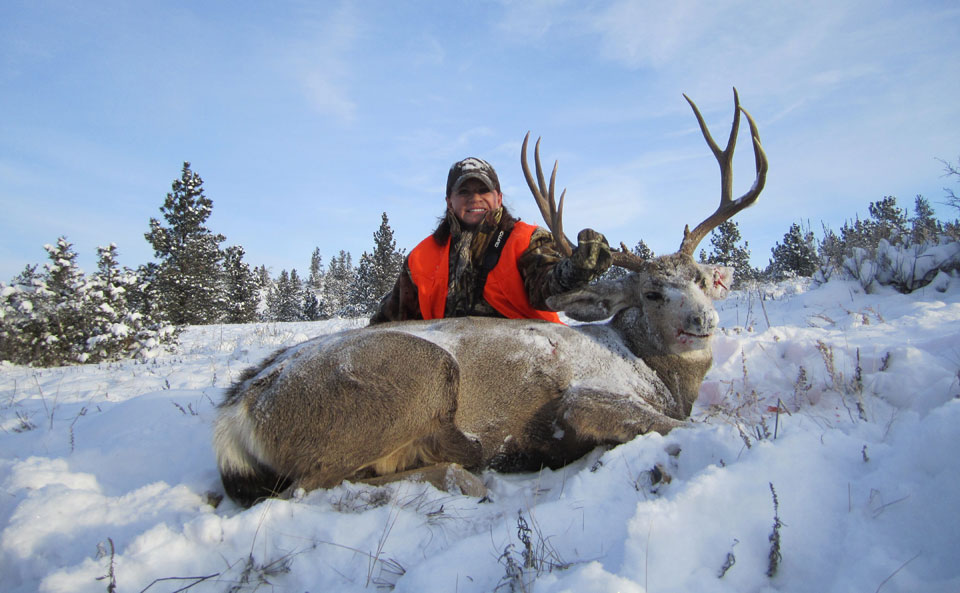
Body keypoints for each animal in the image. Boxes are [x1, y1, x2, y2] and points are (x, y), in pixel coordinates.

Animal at [216, 90, 764, 506]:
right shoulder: (582, 399)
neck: (655, 374)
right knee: (309, 488)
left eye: (701, 279)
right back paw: (464, 478)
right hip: (412, 381)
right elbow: (679, 429)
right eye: (651, 292)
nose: (703, 321)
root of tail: (236, 414)